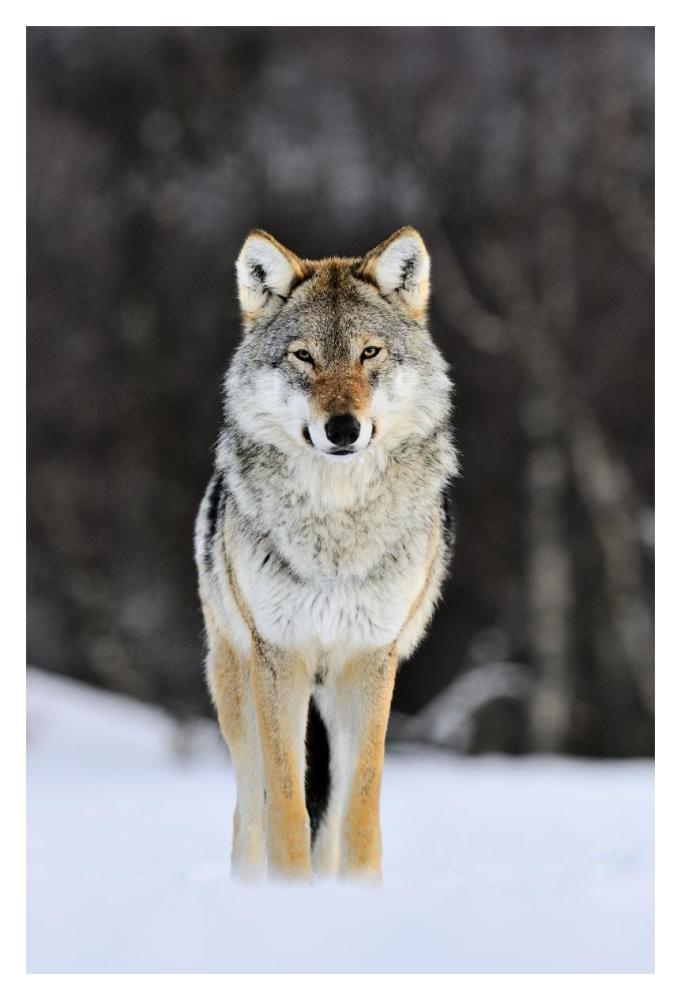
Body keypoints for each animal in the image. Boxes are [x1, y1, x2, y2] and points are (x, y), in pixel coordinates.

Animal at [195, 226, 457, 881]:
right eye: (304, 357)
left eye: (369, 353)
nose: (343, 428)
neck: (336, 537)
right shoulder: (279, 659)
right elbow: (286, 807)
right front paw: (291, 895)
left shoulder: (370, 661)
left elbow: (359, 810)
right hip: (236, 690)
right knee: (249, 810)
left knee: (333, 815)